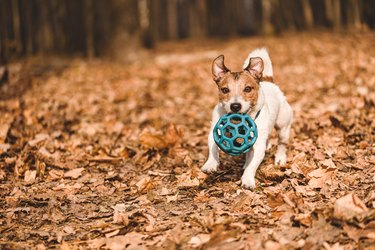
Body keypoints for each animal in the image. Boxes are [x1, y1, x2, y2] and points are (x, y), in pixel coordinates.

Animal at [203, 47, 294, 188]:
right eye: (225, 90)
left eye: (247, 89)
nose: (235, 106)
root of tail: (269, 81)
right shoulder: (214, 131)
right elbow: (213, 147)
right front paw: (210, 164)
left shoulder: (258, 146)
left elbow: (252, 165)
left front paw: (247, 180)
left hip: (283, 126)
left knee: (281, 143)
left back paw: (280, 158)